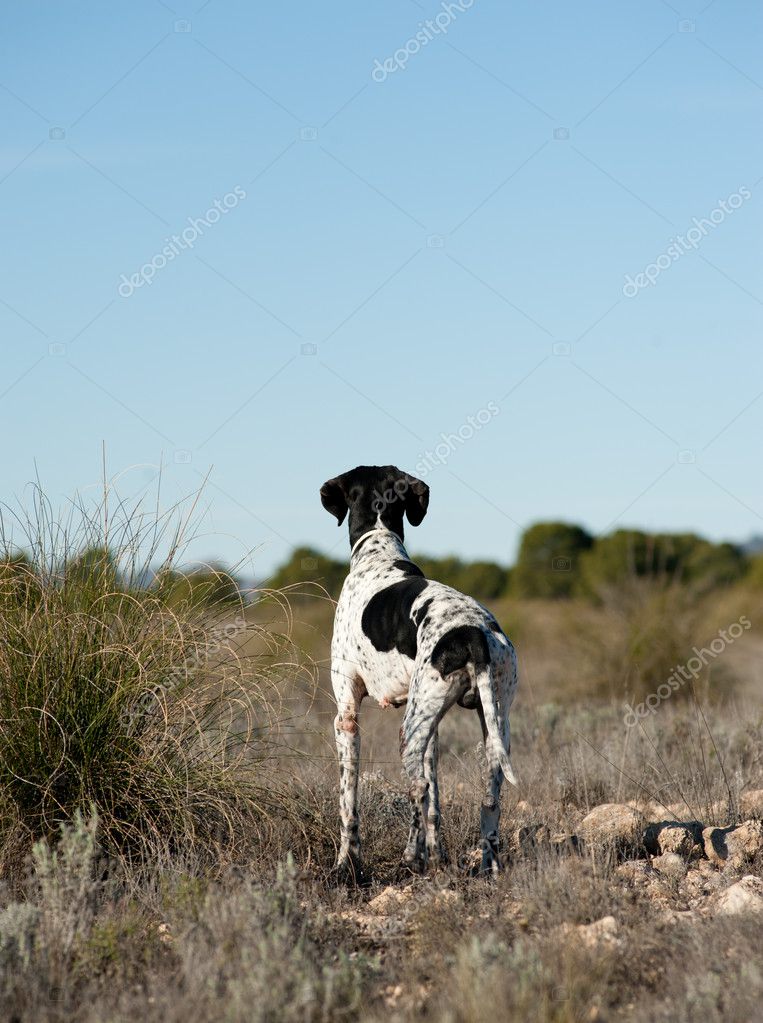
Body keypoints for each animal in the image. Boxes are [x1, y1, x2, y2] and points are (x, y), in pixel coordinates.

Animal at [317, 464, 519, 879]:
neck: (378, 551)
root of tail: (473, 632)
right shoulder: (433, 726)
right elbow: (436, 805)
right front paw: (438, 855)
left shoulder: (347, 717)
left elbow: (349, 802)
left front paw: (347, 862)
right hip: (489, 722)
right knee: (488, 798)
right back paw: (486, 866)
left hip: (407, 731)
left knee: (418, 788)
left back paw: (411, 856)